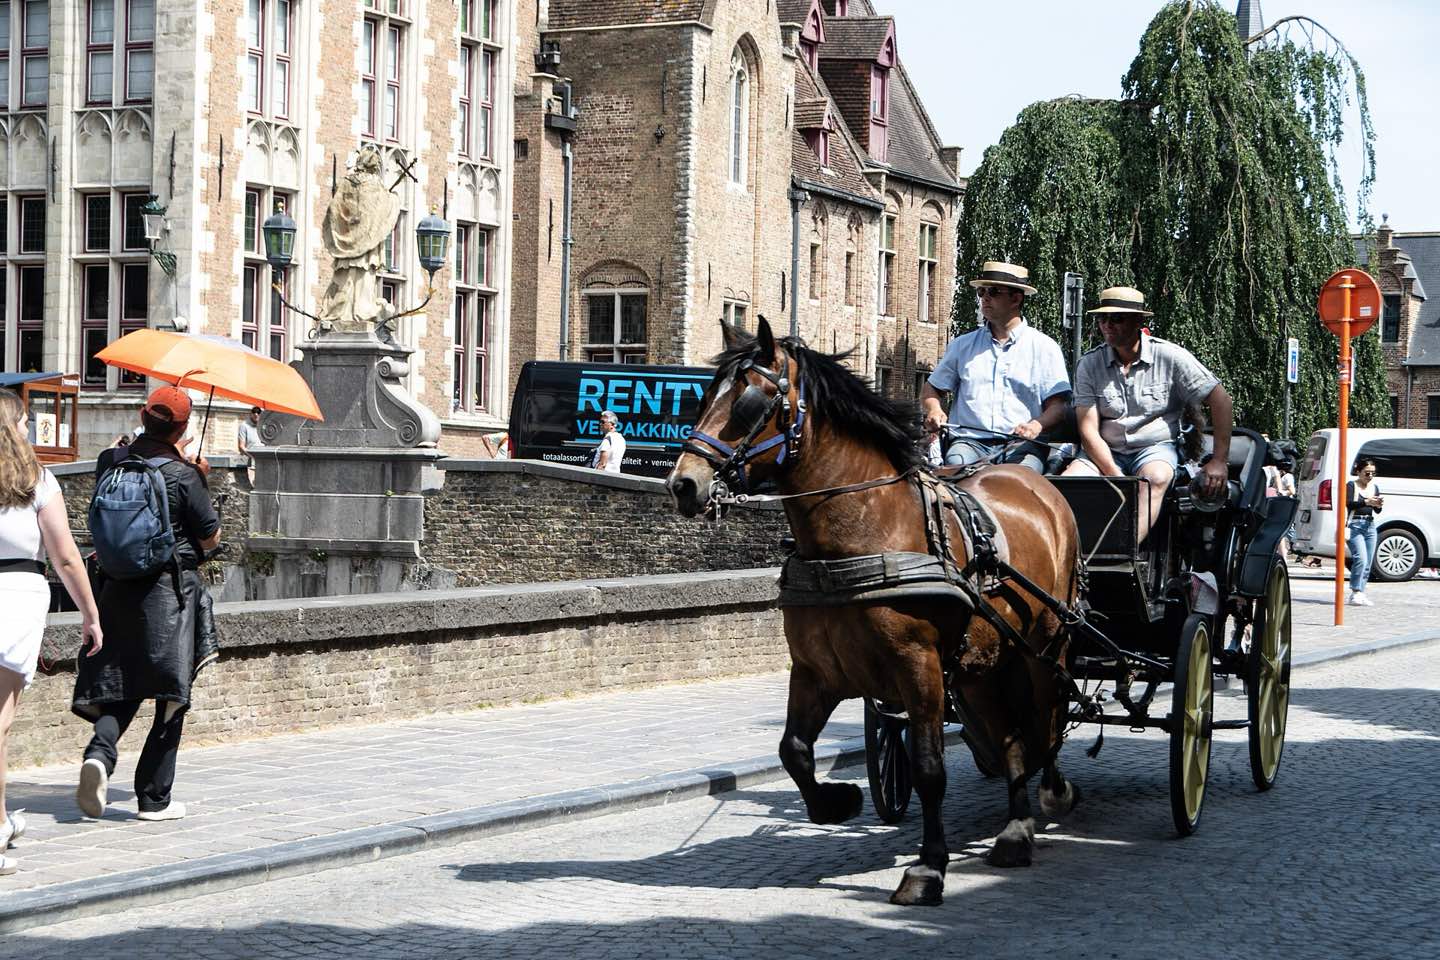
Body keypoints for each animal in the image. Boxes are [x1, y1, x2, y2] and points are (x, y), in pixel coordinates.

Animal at [667, 317, 1083, 906]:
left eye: (750, 401)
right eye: (705, 396)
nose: (683, 483)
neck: (858, 534)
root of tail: (1034, 481)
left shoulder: (919, 667)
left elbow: (929, 767)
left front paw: (928, 867)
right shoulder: (816, 669)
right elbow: (794, 749)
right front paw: (837, 802)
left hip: (1045, 645)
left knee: (1047, 719)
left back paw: (1053, 794)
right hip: (982, 664)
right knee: (1011, 738)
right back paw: (1015, 830)